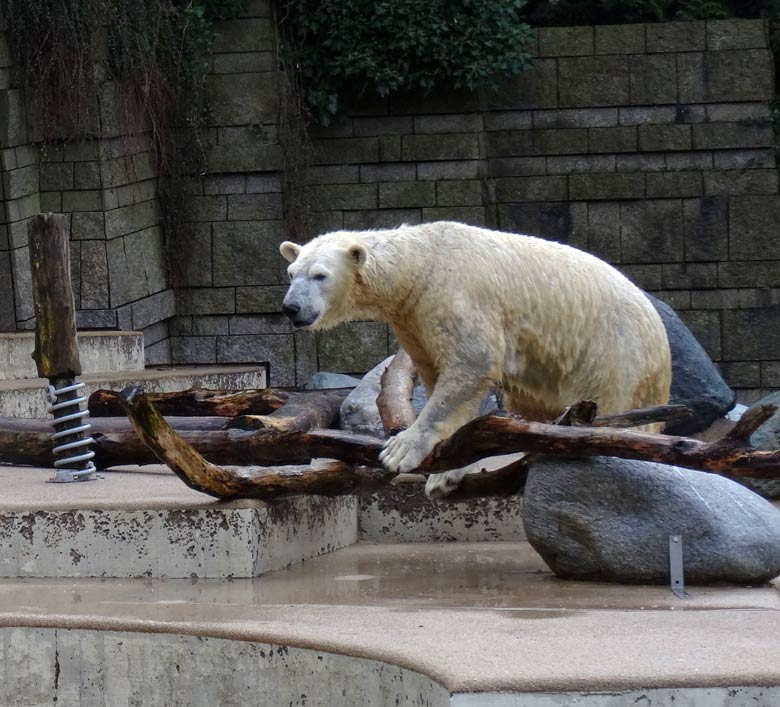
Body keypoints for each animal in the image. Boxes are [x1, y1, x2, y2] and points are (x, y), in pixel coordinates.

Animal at [280, 224, 672, 496]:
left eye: (320, 275)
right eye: (291, 273)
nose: (291, 308)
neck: (420, 266)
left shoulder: (453, 298)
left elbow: (471, 362)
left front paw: (401, 449)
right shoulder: (414, 320)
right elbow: (442, 379)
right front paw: (444, 474)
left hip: (615, 356)